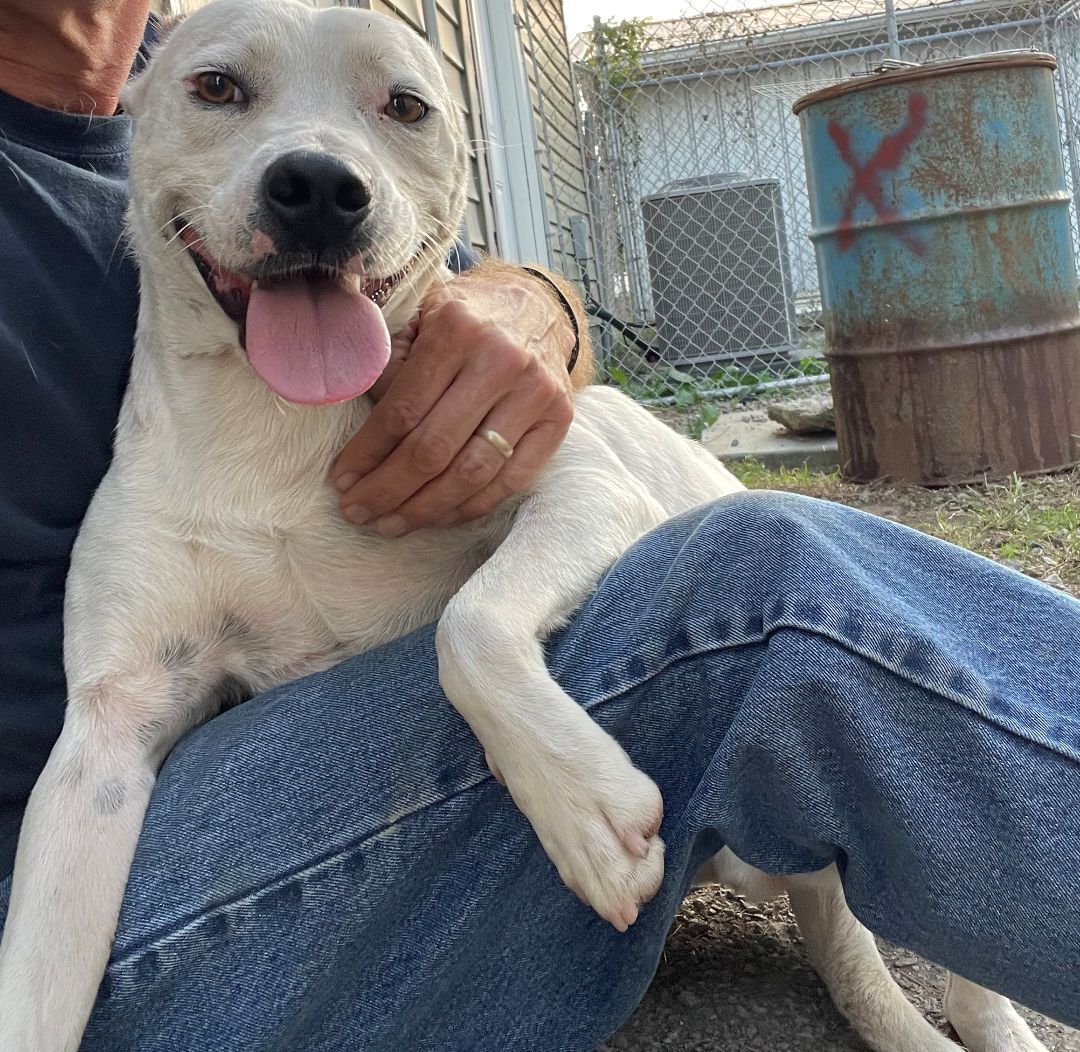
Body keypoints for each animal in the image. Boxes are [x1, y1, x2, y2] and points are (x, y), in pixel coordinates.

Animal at [0, 2, 1049, 1052]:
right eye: (215, 86)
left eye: (406, 106)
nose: (320, 190)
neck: (278, 429)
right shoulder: (106, 739)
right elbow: (35, 977)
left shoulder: (582, 491)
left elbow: (467, 623)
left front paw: (581, 809)